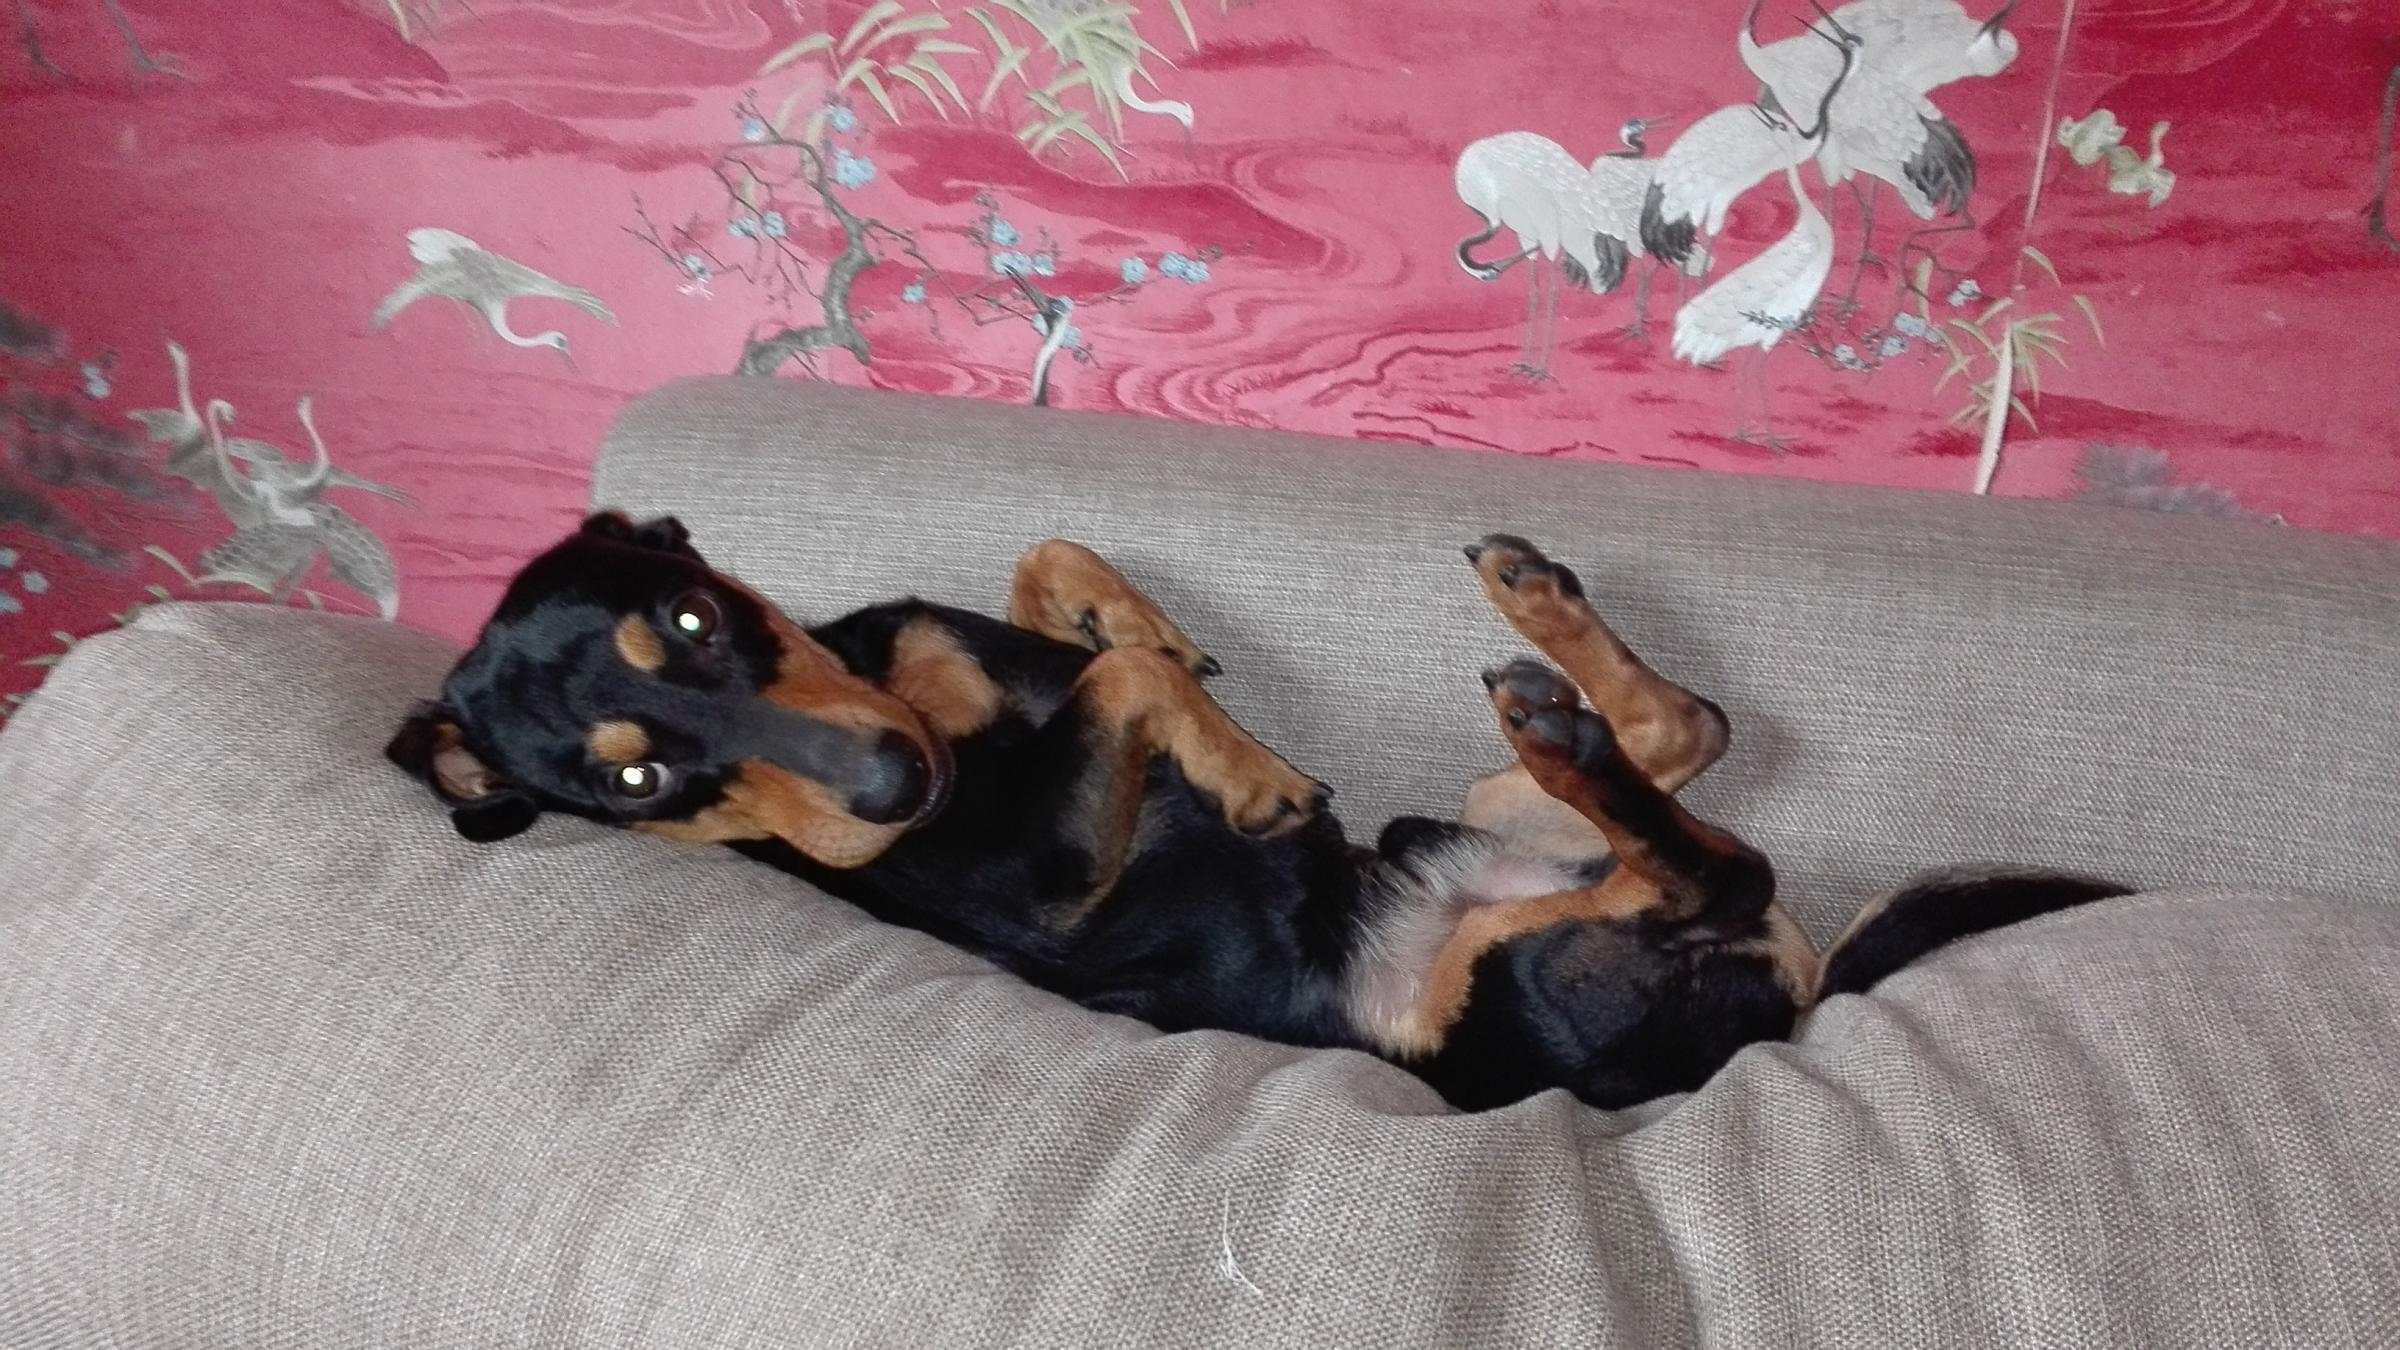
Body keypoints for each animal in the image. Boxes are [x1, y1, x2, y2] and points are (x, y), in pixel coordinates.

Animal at [387, 512, 2129, 1110]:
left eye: (688, 620)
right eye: (633, 783)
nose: (892, 794)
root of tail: (1796, 994)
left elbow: (1064, 580)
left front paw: (1154, 628)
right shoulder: (1047, 872)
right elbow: (1126, 693)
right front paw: (1244, 765)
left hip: (1479, 823)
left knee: (1687, 732)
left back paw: (1539, 610)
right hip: (1514, 967)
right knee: (1706, 847)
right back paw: (1555, 714)